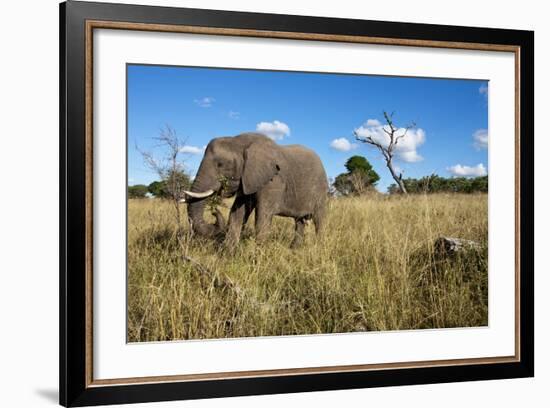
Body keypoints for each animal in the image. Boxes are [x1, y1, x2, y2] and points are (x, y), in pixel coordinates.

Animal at [183, 133, 330, 249]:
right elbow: (237, 212)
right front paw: (227, 252)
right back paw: (294, 249)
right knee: (299, 221)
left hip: (321, 190)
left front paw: (258, 255)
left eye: (221, 164)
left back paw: (319, 247)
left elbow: (262, 215)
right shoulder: (247, 179)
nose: (214, 212)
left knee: (319, 220)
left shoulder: (273, 180)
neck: (239, 141)